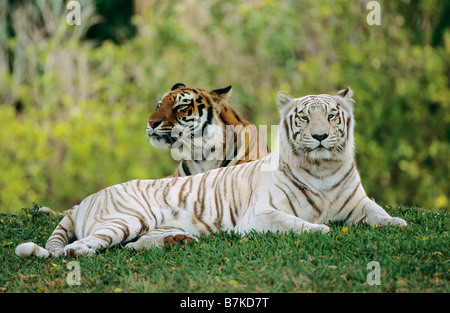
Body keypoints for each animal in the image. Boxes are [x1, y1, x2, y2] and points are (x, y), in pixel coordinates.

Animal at [15, 87, 406, 256]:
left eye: (331, 115)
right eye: (305, 118)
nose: (321, 136)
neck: (322, 168)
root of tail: (82, 202)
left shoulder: (358, 203)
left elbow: (382, 214)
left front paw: (397, 223)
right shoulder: (261, 214)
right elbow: (306, 225)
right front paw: (321, 229)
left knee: (133, 245)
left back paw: (177, 241)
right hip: (125, 219)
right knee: (77, 247)